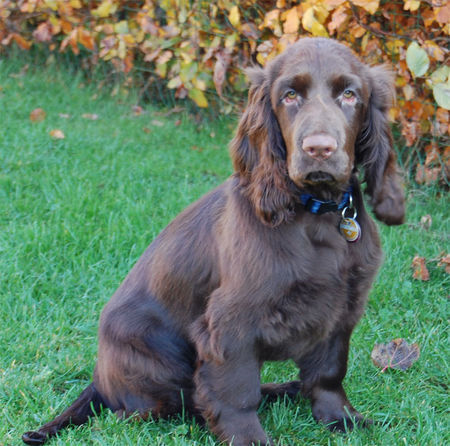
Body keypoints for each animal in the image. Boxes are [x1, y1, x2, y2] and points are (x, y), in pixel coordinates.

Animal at [22, 36, 406, 444]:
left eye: (350, 94)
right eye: (289, 96)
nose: (319, 148)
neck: (317, 212)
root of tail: (98, 377)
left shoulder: (341, 304)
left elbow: (329, 372)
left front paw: (342, 419)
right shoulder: (230, 321)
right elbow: (235, 390)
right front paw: (248, 438)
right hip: (154, 356)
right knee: (177, 401)